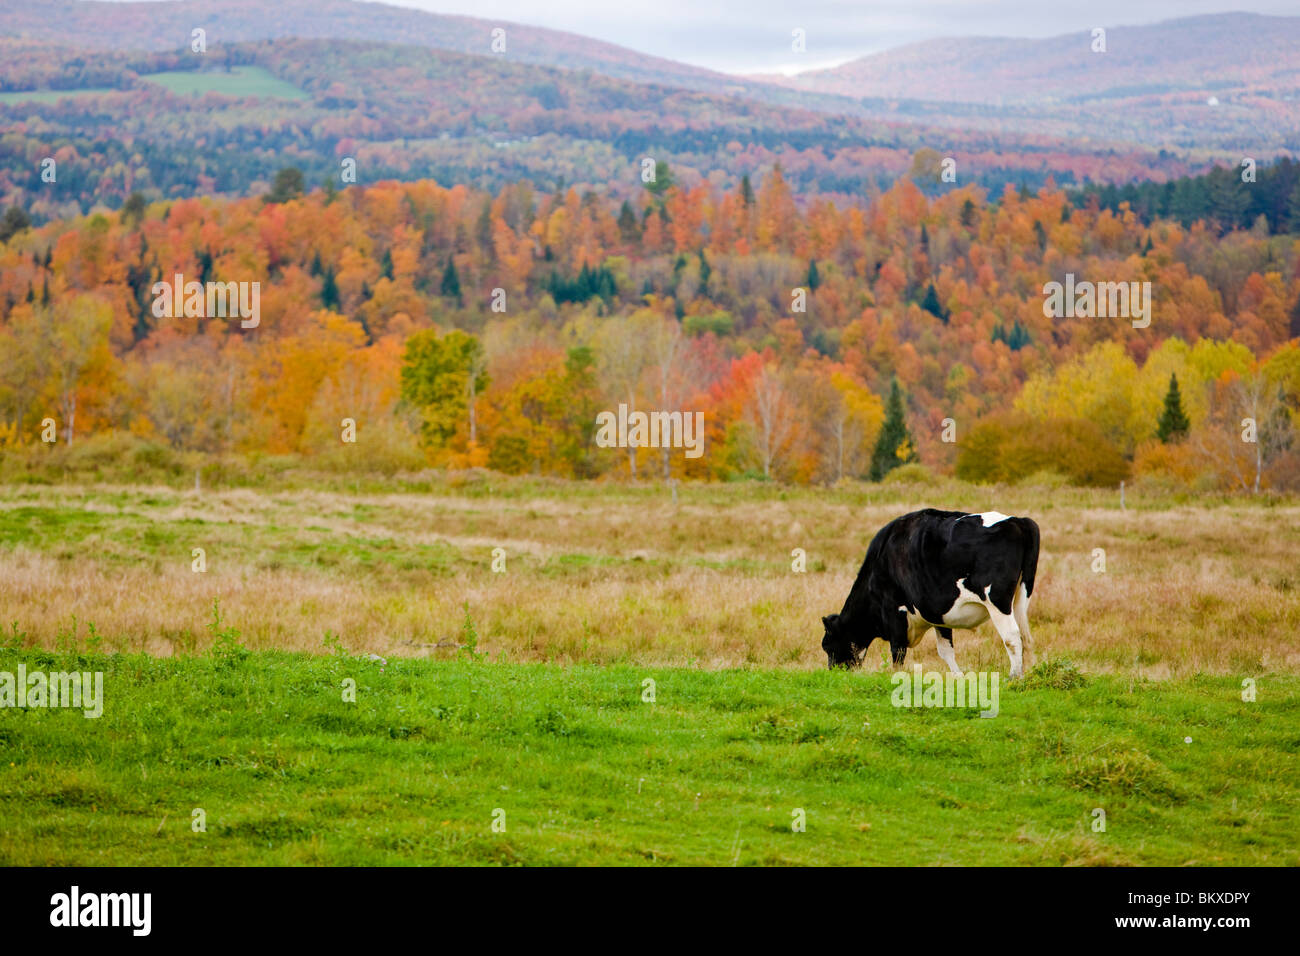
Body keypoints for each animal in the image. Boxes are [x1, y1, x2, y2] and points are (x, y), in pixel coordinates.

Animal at [816, 512, 1040, 676]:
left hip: (997, 601)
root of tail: (1018, 521)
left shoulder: (894, 609)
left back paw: (1014, 676)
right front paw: (958, 677)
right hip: (1021, 598)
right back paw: (1030, 673)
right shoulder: (938, 614)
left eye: (826, 645)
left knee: (1012, 637)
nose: (834, 673)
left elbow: (897, 651)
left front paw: (895, 676)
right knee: (1026, 636)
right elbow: (946, 650)